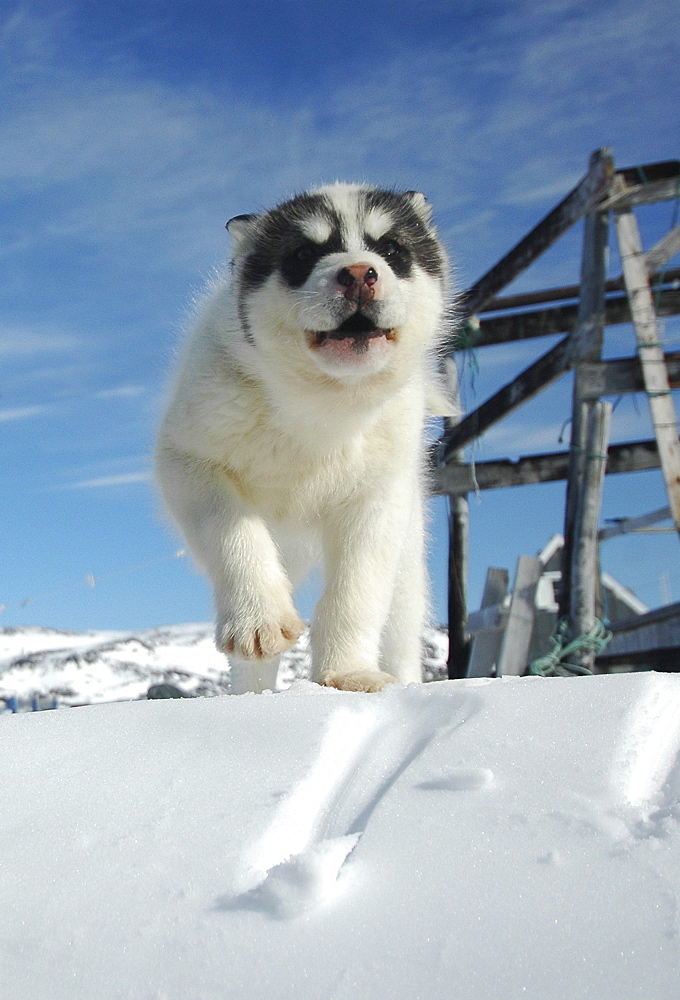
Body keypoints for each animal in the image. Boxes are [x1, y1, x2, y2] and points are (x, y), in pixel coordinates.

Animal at [156, 184, 448, 692]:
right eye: (302, 254)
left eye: (392, 249)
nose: (359, 273)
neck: (321, 410)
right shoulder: (188, 461)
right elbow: (232, 531)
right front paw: (259, 619)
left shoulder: (377, 502)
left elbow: (354, 593)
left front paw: (347, 673)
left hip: (408, 567)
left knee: (400, 633)